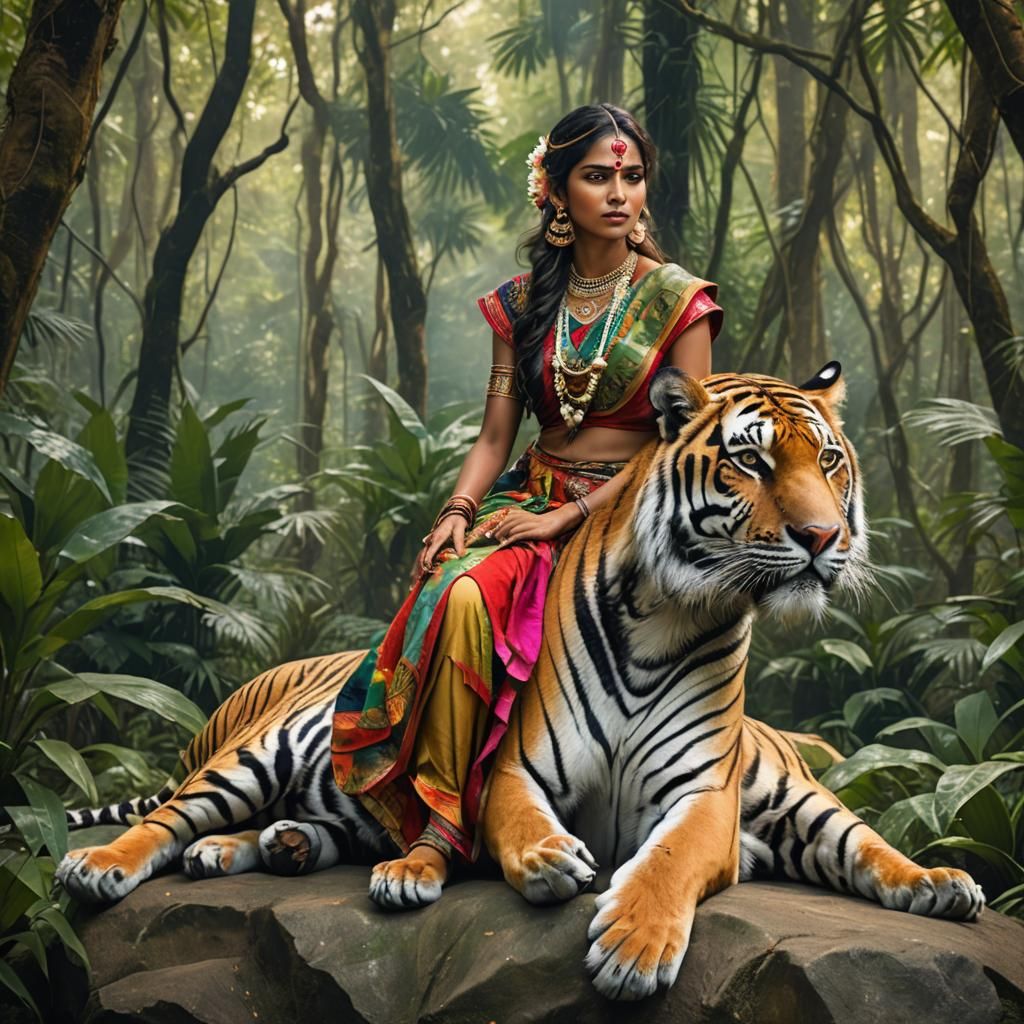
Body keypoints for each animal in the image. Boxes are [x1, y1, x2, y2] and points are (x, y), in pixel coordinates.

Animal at [55, 363, 984, 1002]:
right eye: (750, 464)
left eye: (829, 461)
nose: (825, 538)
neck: (669, 615)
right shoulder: (515, 767)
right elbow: (518, 823)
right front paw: (549, 860)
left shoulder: (713, 797)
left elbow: (696, 856)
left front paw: (633, 946)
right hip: (258, 753)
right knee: (169, 817)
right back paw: (107, 864)